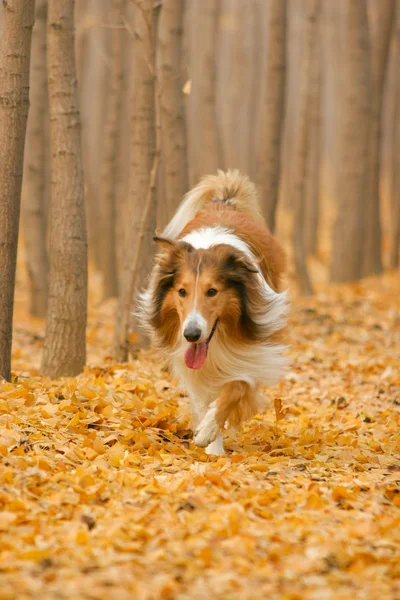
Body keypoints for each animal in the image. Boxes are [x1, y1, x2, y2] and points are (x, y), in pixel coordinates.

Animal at [139, 169, 290, 454]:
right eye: (182, 291)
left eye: (212, 291)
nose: (191, 335)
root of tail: (224, 201)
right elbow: (204, 396)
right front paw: (212, 445)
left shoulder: (255, 351)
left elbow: (235, 388)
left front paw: (209, 430)